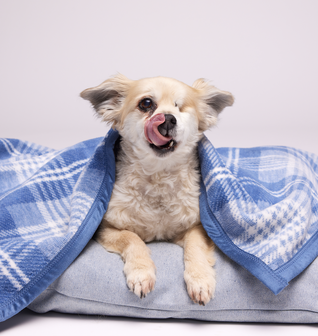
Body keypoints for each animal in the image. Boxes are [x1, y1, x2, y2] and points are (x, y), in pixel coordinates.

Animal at [79, 75, 234, 306]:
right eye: (146, 104)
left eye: (179, 107)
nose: (168, 118)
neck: (158, 176)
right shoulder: (104, 227)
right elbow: (130, 238)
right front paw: (141, 273)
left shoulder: (199, 226)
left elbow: (195, 245)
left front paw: (200, 279)